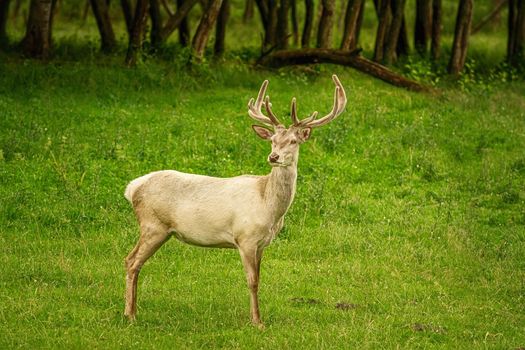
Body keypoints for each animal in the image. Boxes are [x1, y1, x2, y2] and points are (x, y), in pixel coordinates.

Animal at [122, 74, 344, 328]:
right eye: (272, 140)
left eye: (293, 141)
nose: (273, 157)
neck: (268, 206)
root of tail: (133, 188)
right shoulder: (245, 237)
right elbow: (252, 281)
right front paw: (257, 322)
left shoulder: (262, 243)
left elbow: (260, 277)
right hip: (153, 225)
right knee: (132, 261)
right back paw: (130, 314)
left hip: (158, 229)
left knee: (132, 261)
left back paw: (131, 312)